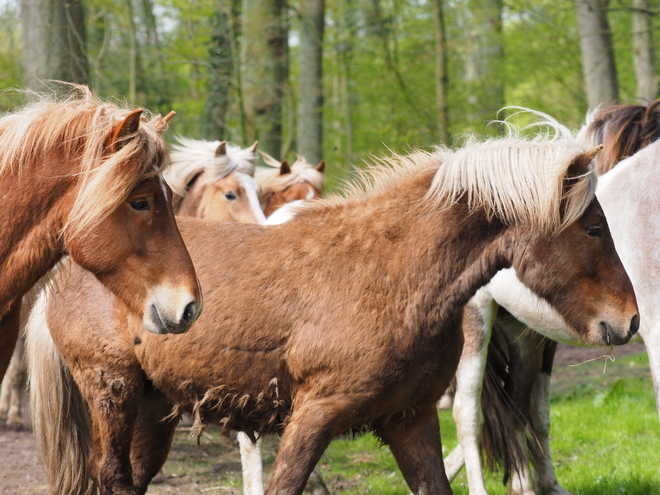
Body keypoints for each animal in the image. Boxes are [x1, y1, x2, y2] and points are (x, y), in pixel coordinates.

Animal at [27, 117, 640, 495]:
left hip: (155, 410)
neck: (393, 273)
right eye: (592, 227)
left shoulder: (411, 420)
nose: (630, 319)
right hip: (113, 392)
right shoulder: (314, 415)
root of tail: (67, 262)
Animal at [444, 101, 660, 495]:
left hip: (526, 337)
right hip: (476, 322)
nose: (628, 320)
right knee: (469, 416)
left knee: (520, 407)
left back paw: (530, 485)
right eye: (594, 229)